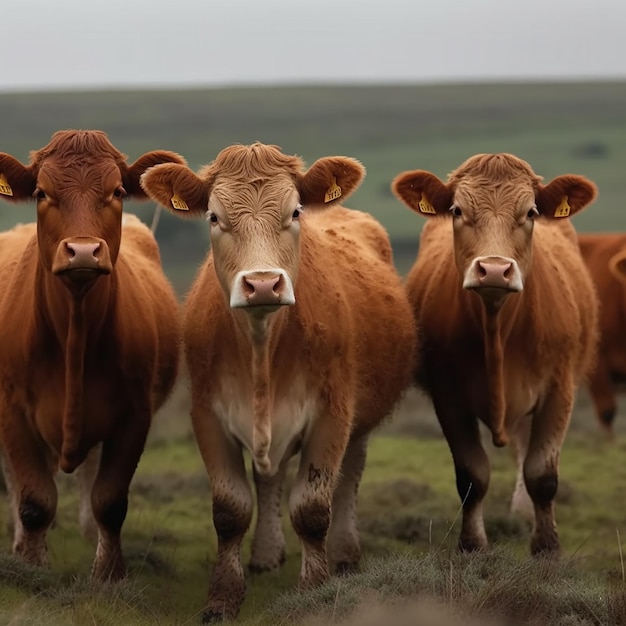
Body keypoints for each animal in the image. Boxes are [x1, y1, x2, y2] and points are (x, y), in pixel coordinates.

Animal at [0, 130, 183, 580]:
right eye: (42, 193)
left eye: (116, 191)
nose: (82, 252)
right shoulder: (13, 411)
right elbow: (33, 499)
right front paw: (31, 565)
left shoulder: (134, 414)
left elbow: (110, 500)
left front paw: (108, 572)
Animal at [139, 141, 416, 620]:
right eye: (214, 217)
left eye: (295, 211)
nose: (263, 284)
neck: (262, 343)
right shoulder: (208, 414)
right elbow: (230, 509)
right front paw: (223, 597)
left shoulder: (332, 413)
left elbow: (313, 508)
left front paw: (315, 591)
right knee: (270, 477)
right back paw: (267, 555)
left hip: (361, 419)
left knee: (349, 477)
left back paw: (345, 554)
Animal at [392, 155, 596, 556]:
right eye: (457, 210)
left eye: (531, 212)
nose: (496, 270)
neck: (497, 326)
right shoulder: (449, 398)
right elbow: (472, 476)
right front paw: (472, 546)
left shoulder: (559, 390)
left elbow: (542, 475)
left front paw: (547, 548)